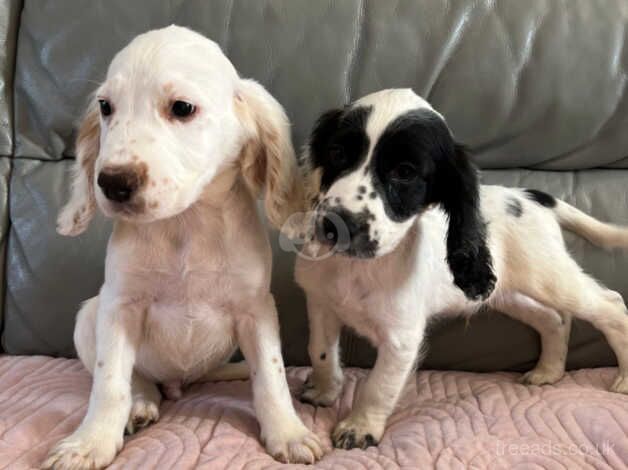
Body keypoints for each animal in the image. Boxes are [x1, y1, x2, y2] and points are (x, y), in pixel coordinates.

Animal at [43, 26, 324, 470]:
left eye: (182, 108)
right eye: (105, 107)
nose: (112, 183)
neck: (185, 226)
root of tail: (181, 380)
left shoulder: (256, 309)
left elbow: (271, 377)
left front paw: (288, 431)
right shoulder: (119, 307)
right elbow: (110, 383)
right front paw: (89, 442)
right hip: (88, 315)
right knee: (138, 379)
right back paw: (141, 404)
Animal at [294, 89, 628, 452]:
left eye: (405, 172)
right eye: (337, 153)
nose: (335, 225)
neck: (358, 267)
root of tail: (530, 196)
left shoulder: (401, 338)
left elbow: (378, 386)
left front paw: (359, 427)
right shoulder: (321, 304)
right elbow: (321, 352)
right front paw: (324, 391)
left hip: (550, 277)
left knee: (610, 304)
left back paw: (623, 377)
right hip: (502, 292)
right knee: (553, 319)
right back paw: (548, 371)